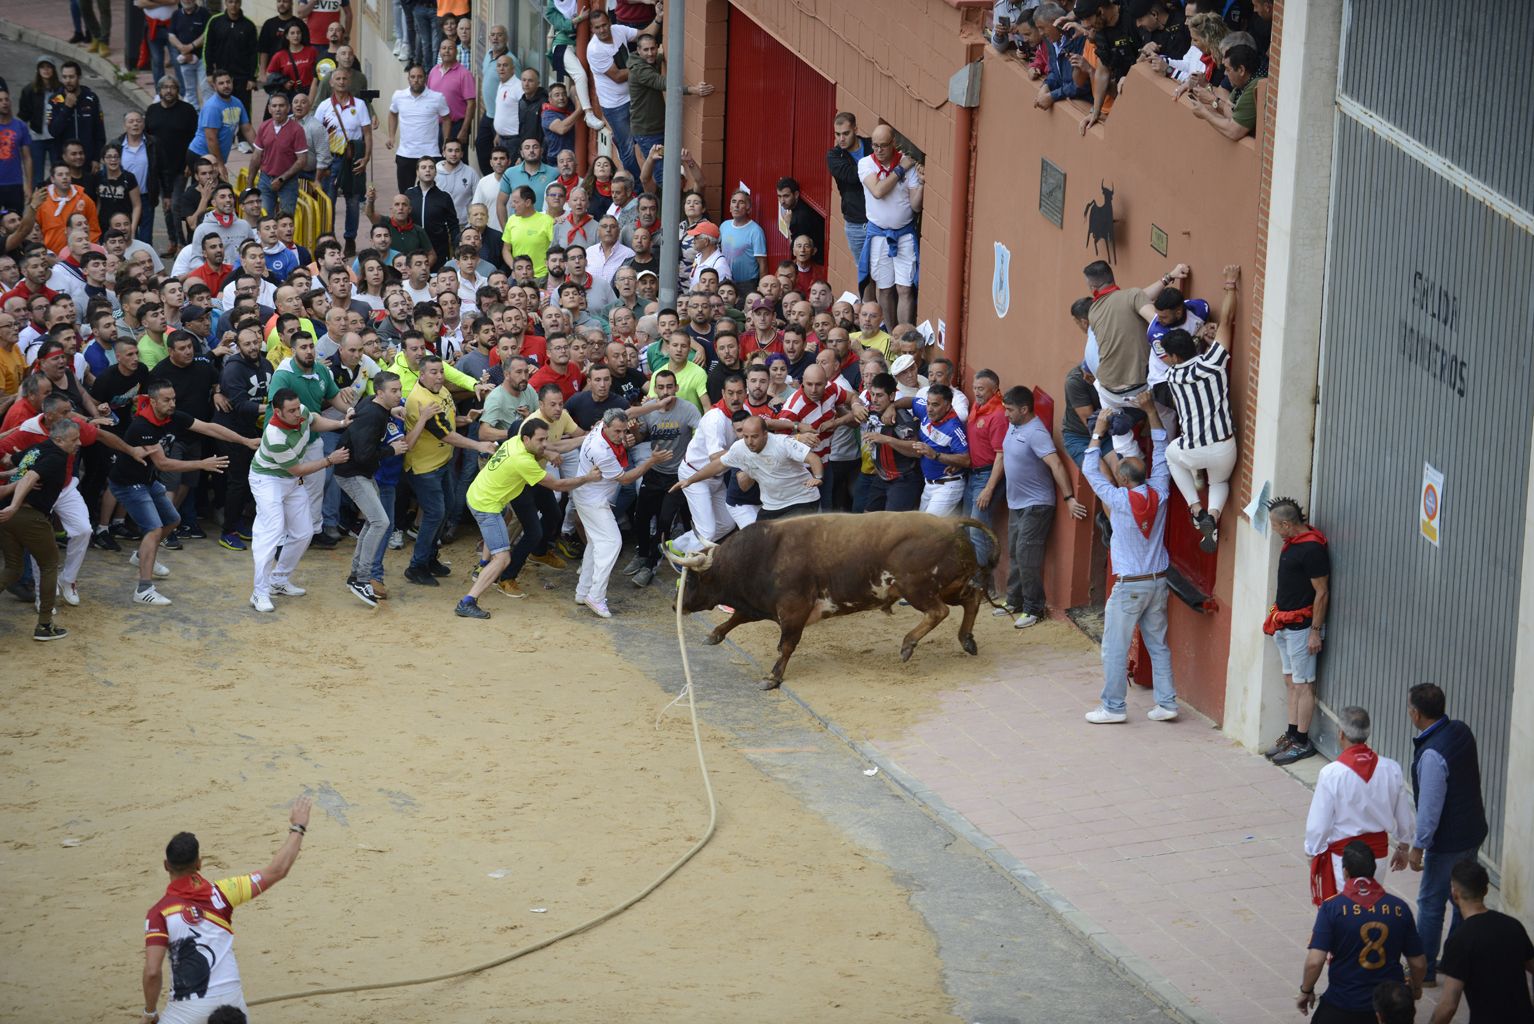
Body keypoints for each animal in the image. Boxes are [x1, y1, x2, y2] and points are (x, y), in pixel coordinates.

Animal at [665, 512, 1000, 686]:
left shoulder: (793, 610)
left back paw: (907, 645)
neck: (761, 554)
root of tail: (952, 522)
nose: (673, 605)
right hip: (952, 585)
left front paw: (772, 678)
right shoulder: (761, 603)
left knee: (938, 612)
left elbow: (785, 645)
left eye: (691, 579)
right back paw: (967, 640)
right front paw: (714, 635)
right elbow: (737, 617)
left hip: (918, 588)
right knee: (972, 598)